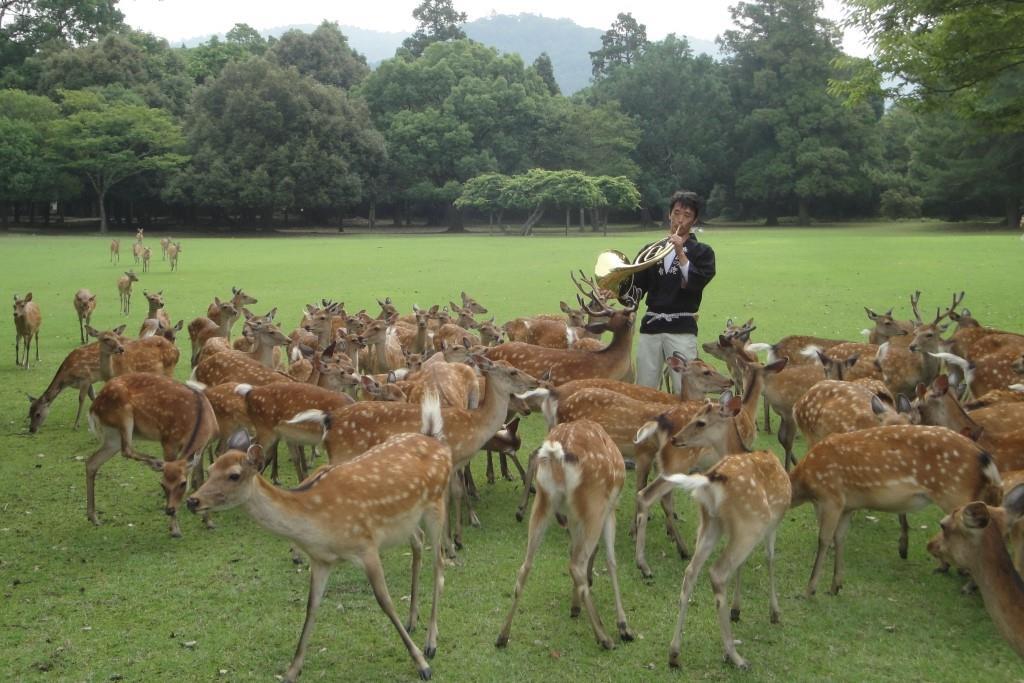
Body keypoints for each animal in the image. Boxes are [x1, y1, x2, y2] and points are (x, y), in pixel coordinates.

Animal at [84, 374, 218, 540]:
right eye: (162, 484)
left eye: (183, 483)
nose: (169, 510)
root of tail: (93, 407)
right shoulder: (168, 440)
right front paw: (175, 530)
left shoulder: (203, 447)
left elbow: (200, 480)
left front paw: (209, 522)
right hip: (123, 414)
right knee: (126, 449)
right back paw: (154, 461)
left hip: (112, 437)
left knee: (92, 462)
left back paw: (93, 517)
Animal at [188, 395, 452, 683]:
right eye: (211, 468)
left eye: (234, 475)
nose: (193, 501)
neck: (316, 524)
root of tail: (434, 439)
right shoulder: (321, 560)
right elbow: (311, 607)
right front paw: (292, 671)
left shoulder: (366, 546)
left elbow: (385, 601)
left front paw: (421, 664)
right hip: (406, 521)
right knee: (418, 542)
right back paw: (412, 620)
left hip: (436, 503)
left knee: (439, 563)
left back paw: (431, 642)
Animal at [493, 421, 630, 651]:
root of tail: (557, 456)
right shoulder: (610, 510)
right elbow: (611, 561)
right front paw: (623, 626)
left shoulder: (573, 517)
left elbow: (572, 548)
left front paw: (575, 606)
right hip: (595, 505)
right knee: (576, 564)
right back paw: (605, 637)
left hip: (543, 501)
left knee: (526, 566)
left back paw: (502, 636)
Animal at [790, 428, 999, 598]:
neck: (805, 485)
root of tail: (986, 459)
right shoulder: (847, 506)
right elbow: (840, 538)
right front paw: (835, 586)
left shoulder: (830, 497)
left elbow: (824, 539)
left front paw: (809, 590)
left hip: (956, 495)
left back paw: (969, 585)